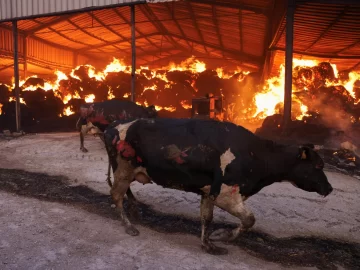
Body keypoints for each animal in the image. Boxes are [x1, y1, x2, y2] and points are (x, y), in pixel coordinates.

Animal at [102, 118, 334, 255]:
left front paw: (208, 244)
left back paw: (135, 209)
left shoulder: (210, 192)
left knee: (123, 192)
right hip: (123, 169)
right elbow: (249, 220)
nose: (330, 188)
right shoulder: (226, 194)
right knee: (115, 195)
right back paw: (129, 225)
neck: (257, 155)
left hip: (127, 171)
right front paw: (223, 236)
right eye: (318, 165)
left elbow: (207, 218)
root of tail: (114, 127)